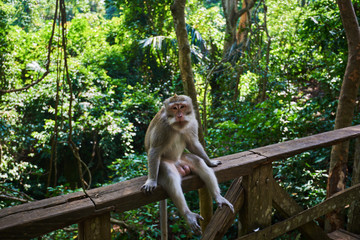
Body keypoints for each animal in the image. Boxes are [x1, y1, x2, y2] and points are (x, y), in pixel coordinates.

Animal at [141, 94, 233, 234]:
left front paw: (210, 161)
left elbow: (193, 144)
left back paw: (218, 196)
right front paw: (151, 181)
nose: (179, 115)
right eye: (174, 108)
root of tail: (177, 163)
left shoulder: (193, 122)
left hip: (182, 158)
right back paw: (188, 214)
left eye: (182, 107)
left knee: (199, 162)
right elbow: (155, 150)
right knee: (170, 175)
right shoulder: (162, 127)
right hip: (163, 164)